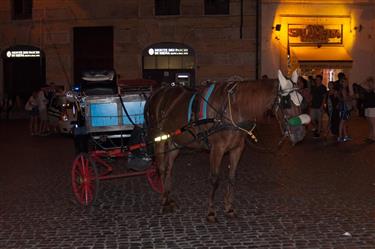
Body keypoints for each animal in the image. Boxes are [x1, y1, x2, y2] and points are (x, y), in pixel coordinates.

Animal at [145, 69, 306, 222]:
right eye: (287, 103)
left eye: (302, 100)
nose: (300, 135)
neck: (234, 108)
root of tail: (157, 92)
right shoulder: (217, 149)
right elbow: (215, 180)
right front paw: (211, 213)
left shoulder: (237, 148)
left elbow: (232, 177)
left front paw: (229, 208)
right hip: (159, 138)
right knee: (162, 168)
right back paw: (164, 201)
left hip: (176, 141)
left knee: (169, 168)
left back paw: (169, 198)